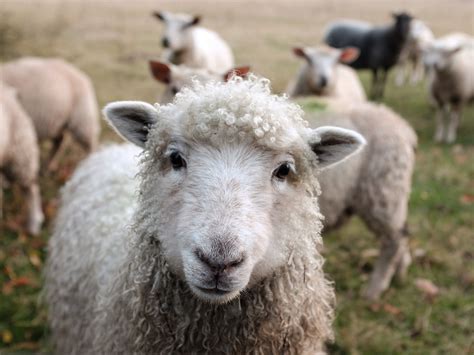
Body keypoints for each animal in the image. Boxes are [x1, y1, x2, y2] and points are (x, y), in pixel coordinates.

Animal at [302, 98, 416, 302]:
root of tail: (405, 128)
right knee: (402, 234)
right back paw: (400, 273)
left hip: (382, 191)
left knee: (395, 240)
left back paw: (374, 290)